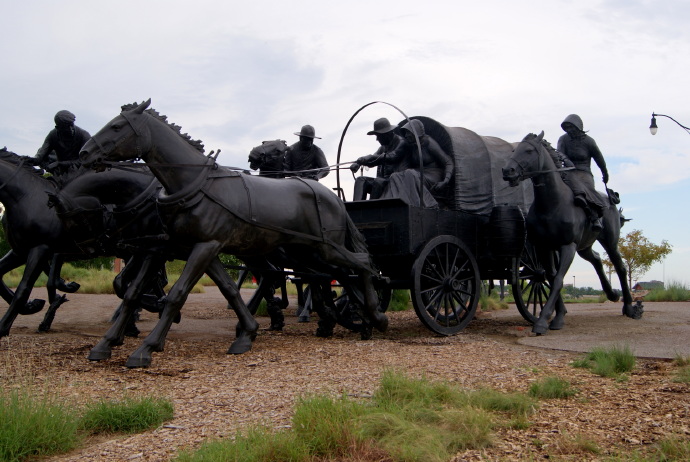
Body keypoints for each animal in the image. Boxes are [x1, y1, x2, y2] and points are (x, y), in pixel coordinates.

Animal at [500, 132, 640, 334]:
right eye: (514, 150)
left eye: (528, 151)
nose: (507, 171)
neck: (552, 204)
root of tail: (610, 199)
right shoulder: (544, 247)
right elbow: (550, 277)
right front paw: (558, 315)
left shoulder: (567, 246)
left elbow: (558, 280)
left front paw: (544, 321)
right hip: (584, 247)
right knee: (597, 259)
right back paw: (611, 293)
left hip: (610, 242)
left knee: (620, 268)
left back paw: (628, 306)